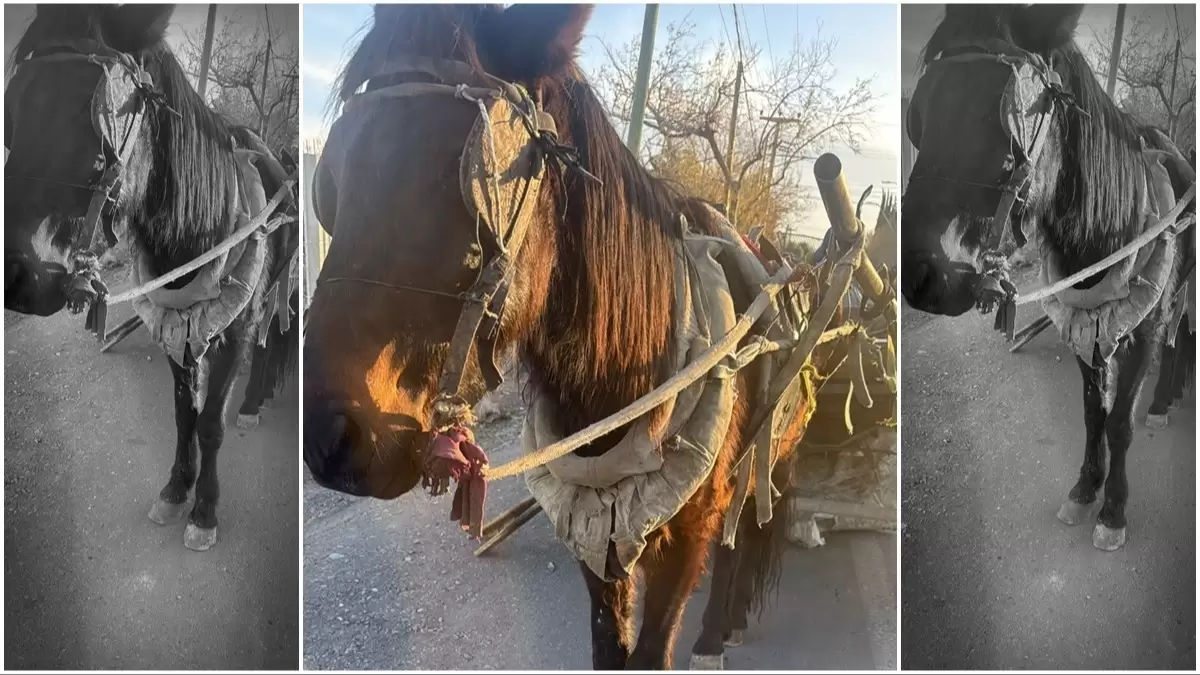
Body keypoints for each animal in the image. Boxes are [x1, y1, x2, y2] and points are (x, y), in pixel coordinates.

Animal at [5, 4, 299, 551]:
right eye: (13, 108)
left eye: (98, 115)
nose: (19, 274)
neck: (200, 232)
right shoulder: (174, 327)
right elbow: (185, 413)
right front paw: (176, 489)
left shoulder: (233, 332)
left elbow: (210, 422)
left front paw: (204, 510)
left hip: (272, 291)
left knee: (273, 340)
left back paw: (254, 399)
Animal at [303, 4, 859, 668]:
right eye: (331, 182)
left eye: (456, 173)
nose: (330, 437)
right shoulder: (596, 531)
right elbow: (608, 643)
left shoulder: (684, 536)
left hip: (776, 450)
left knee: (747, 530)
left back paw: (717, 630)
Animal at [900, 4, 1195, 551]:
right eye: (921, 116)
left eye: (1002, 115)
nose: (919, 273)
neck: (1110, 230)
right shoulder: (1085, 329)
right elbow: (1093, 412)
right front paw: (1085, 489)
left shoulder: (1140, 331)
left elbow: (1120, 421)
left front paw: (1114, 510)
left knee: (1179, 339)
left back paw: (1164, 399)